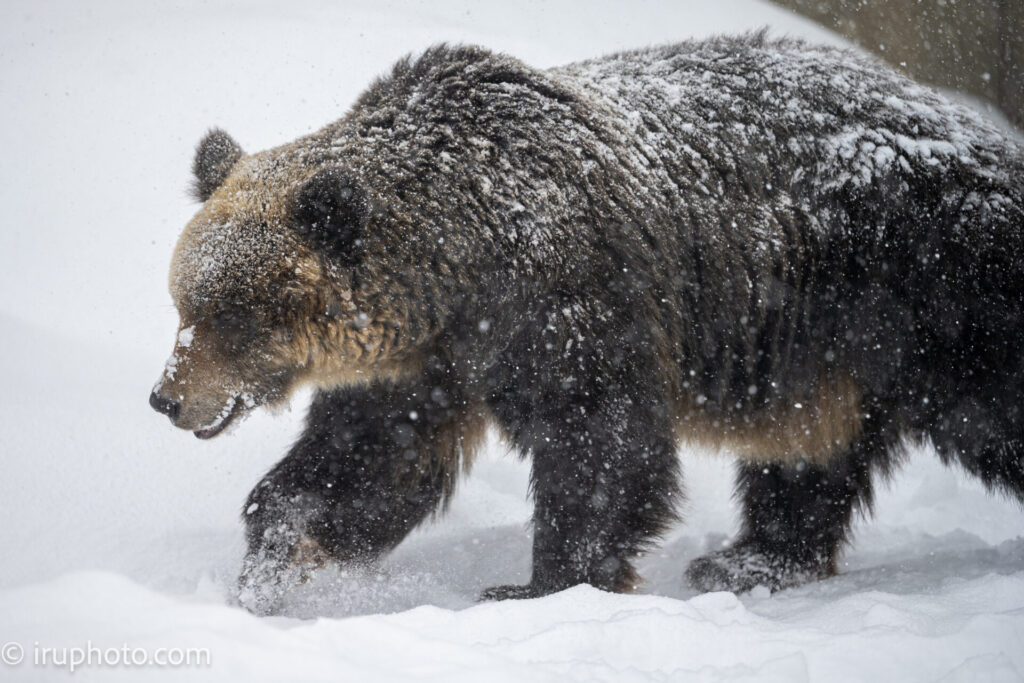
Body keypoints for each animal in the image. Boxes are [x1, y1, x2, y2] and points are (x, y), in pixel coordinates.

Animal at [149, 34, 1024, 618]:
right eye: (183, 302)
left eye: (231, 313)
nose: (167, 396)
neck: (464, 263)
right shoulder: (424, 366)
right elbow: (364, 463)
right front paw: (273, 561)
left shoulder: (570, 301)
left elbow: (600, 444)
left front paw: (537, 582)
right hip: (824, 351)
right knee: (809, 452)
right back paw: (748, 559)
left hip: (933, 284)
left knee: (991, 402)